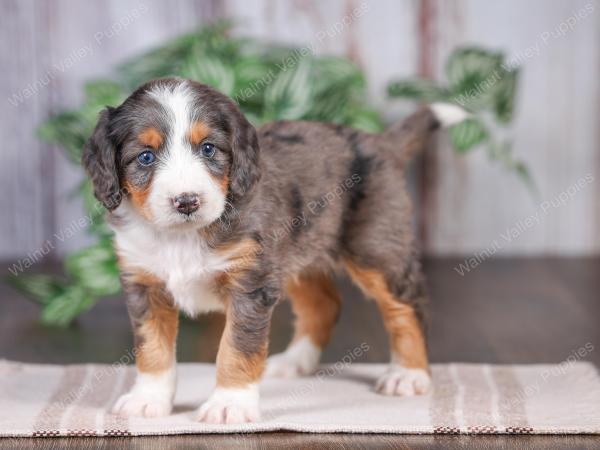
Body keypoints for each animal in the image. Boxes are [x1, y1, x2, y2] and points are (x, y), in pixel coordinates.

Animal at [83, 75, 468, 424]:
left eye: (208, 148)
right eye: (145, 157)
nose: (187, 201)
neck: (182, 237)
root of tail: (378, 141)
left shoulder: (249, 284)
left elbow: (236, 348)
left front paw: (229, 404)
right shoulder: (145, 283)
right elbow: (153, 349)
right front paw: (148, 399)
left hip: (376, 248)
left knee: (407, 307)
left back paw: (409, 374)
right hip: (297, 253)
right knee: (324, 305)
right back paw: (295, 361)